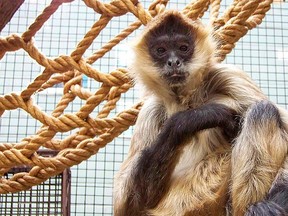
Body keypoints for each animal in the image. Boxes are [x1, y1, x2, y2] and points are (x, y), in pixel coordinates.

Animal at [113, 10, 288, 216]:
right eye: (161, 50)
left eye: (183, 47)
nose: (173, 62)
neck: (188, 100)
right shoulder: (152, 108)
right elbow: (126, 206)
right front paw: (199, 117)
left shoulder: (229, 75)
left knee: (263, 111)